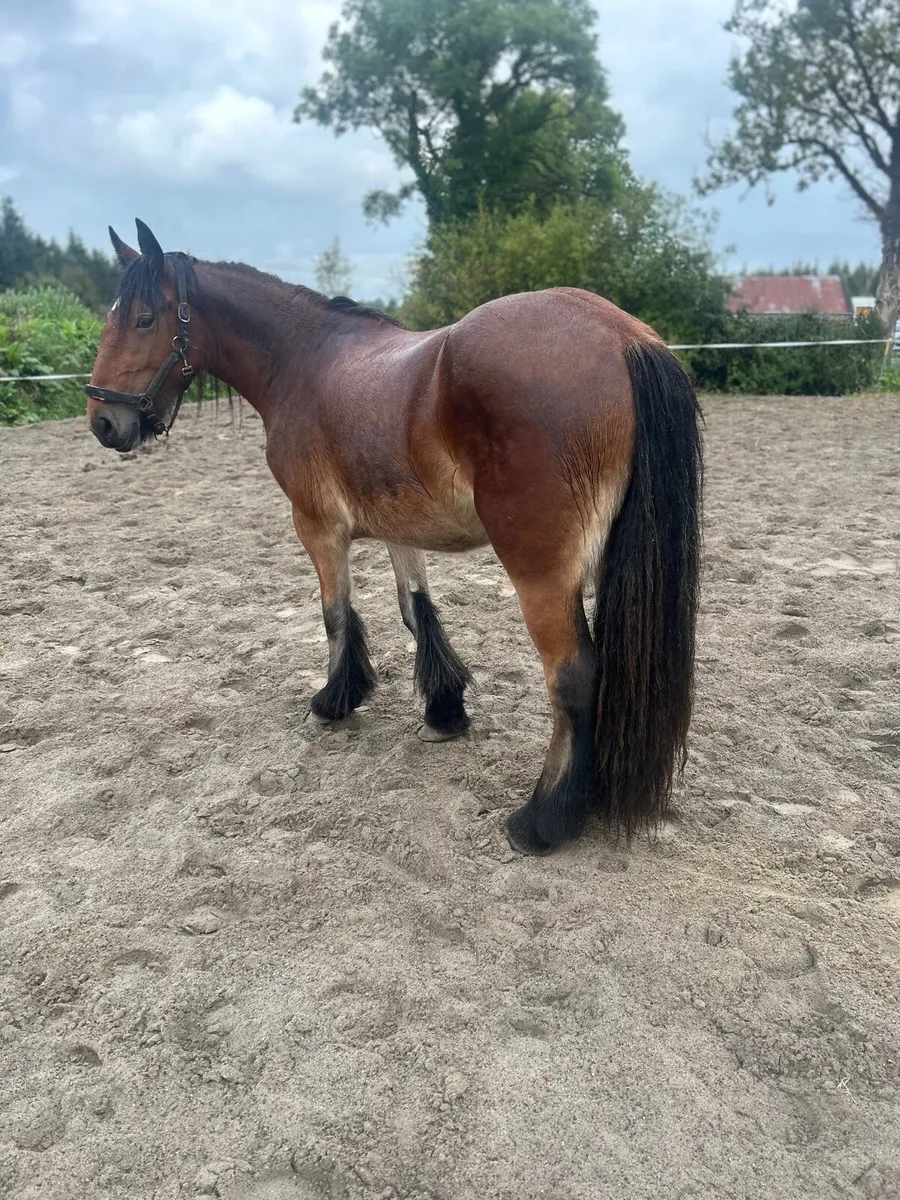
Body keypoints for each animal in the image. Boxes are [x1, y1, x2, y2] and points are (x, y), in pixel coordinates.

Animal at [86, 219, 702, 856]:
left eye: (144, 319)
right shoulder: (396, 525)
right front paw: (444, 709)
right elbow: (416, 609)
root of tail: (624, 337)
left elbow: (336, 612)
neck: (304, 361)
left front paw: (334, 700)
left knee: (576, 675)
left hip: (541, 571)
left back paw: (543, 819)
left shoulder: (316, 525)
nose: (104, 422)